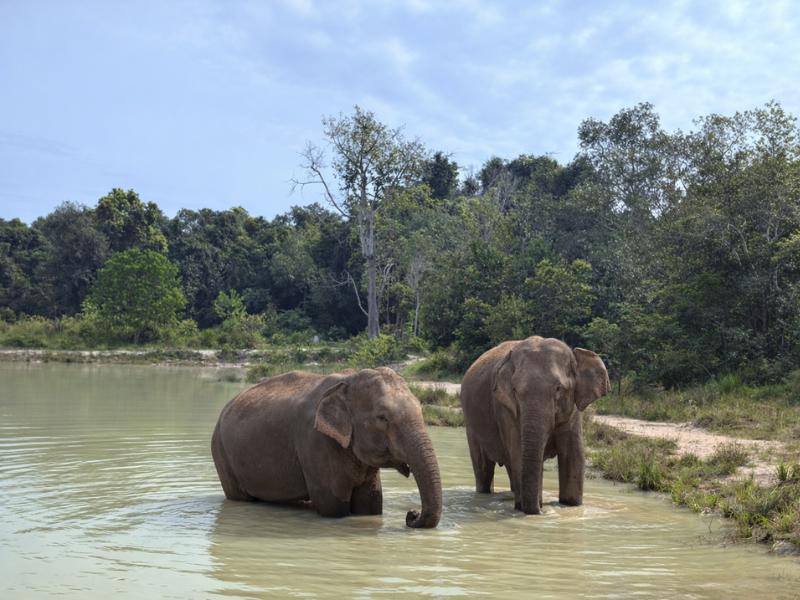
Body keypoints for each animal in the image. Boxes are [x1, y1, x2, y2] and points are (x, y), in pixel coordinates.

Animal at [211, 367, 442, 528]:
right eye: (382, 418)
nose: (411, 514)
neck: (350, 379)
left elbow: (370, 504)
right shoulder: (315, 441)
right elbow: (333, 506)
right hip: (221, 454)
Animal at [460, 336, 609, 515]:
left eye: (558, 388)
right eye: (515, 390)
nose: (539, 511)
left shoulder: (572, 410)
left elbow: (574, 456)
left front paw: (570, 505)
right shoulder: (505, 409)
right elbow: (519, 453)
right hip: (471, 425)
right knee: (484, 469)